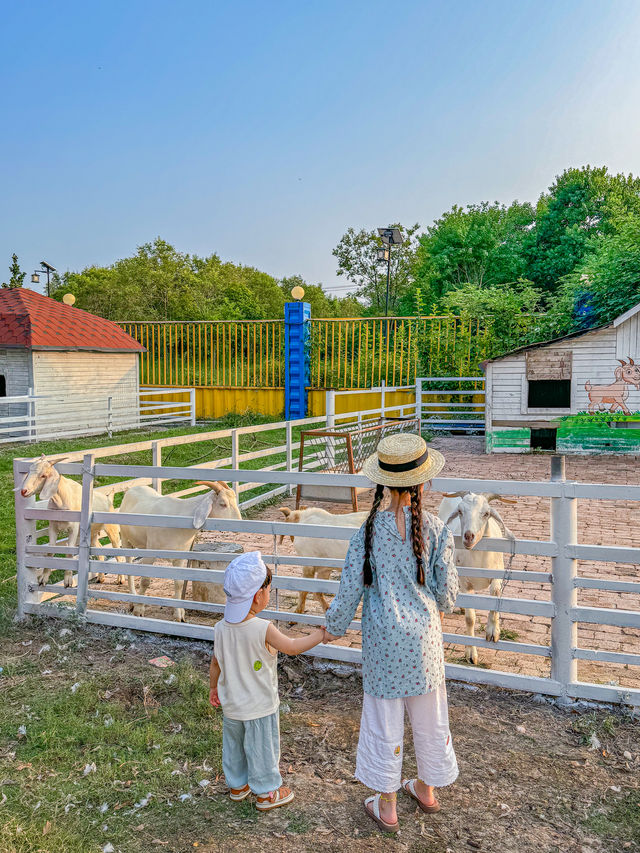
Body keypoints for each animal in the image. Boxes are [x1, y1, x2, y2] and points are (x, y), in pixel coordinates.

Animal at [18, 456, 124, 588]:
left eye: (43, 475)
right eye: (29, 471)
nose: (24, 491)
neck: (61, 499)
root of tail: (108, 499)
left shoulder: (74, 528)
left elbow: (69, 552)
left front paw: (68, 581)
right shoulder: (53, 526)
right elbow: (50, 551)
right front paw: (43, 578)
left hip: (112, 529)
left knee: (118, 553)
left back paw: (120, 579)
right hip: (92, 534)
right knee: (100, 551)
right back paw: (100, 578)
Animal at [119, 480, 241, 620]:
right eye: (222, 504)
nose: (239, 523)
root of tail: (132, 488)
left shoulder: (180, 556)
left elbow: (179, 583)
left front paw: (179, 614)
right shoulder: (151, 552)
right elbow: (145, 581)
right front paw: (139, 609)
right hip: (125, 538)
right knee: (128, 567)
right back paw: (132, 600)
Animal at [440, 492, 516, 664]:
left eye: (486, 513)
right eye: (460, 512)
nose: (469, 536)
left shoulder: (497, 575)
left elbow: (496, 595)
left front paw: (493, 631)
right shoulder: (465, 582)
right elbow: (470, 619)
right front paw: (471, 654)